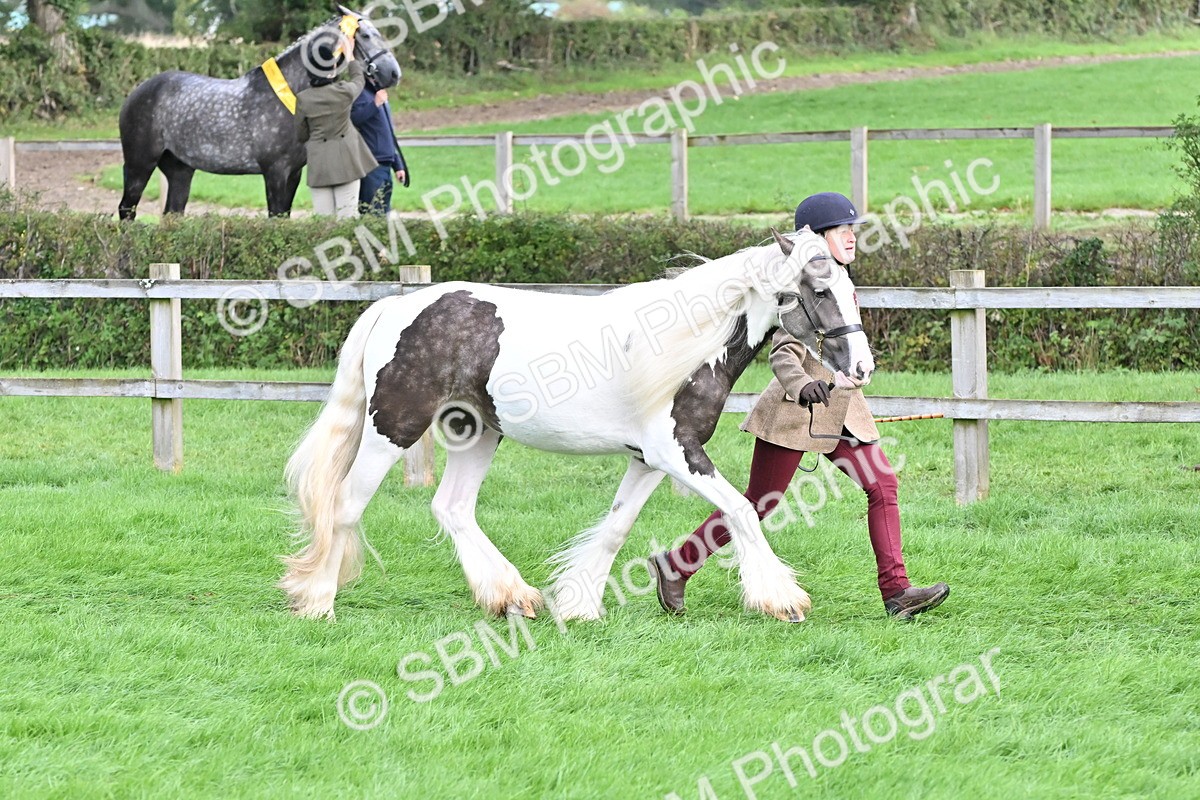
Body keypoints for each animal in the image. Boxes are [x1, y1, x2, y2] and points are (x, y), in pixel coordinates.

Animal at [117, 6, 400, 220]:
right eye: (365, 35)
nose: (393, 73)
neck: (291, 93)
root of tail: (135, 94)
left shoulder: (293, 173)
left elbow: (283, 217)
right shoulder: (274, 172)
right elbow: (274, 217)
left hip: (180, 170)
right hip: (140, 164)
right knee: (126, 210)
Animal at [279, 228, 876, 624]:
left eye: (850, 288)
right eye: (819, 291)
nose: (862, 368)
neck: (688, 348)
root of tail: (394, 309)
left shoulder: (648, 460)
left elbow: (615, 528)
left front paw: (580, 605)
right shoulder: (677, 453)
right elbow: (743, 511)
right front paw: (782, 600)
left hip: (477, 432)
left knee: (452, 509)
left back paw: (513, 596)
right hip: (393, 430)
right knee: (346, 506)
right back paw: (319, 604)